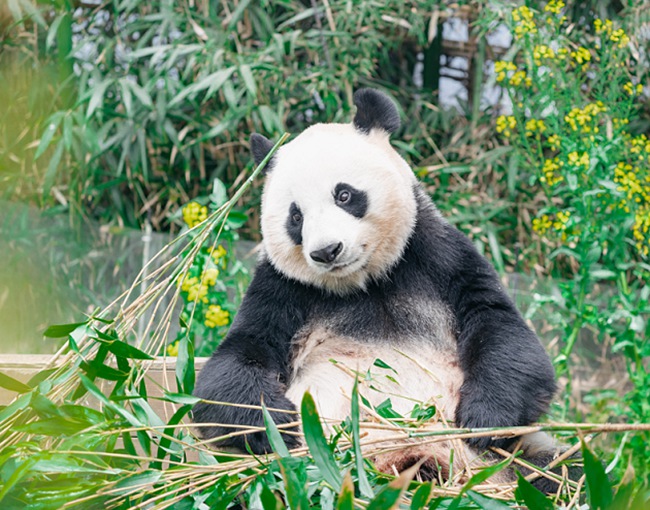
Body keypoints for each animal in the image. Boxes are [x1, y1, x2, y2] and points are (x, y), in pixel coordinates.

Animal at [191, 89, 556, 488]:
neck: (363, 284)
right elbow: (235, 361)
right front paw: (276, 423)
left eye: (344, 195)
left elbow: (500, 328)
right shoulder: (283, 287)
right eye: (296, 216)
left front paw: (483, 418)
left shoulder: (438, 255)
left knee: (558, 470)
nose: (327, 251)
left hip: (515, 458)